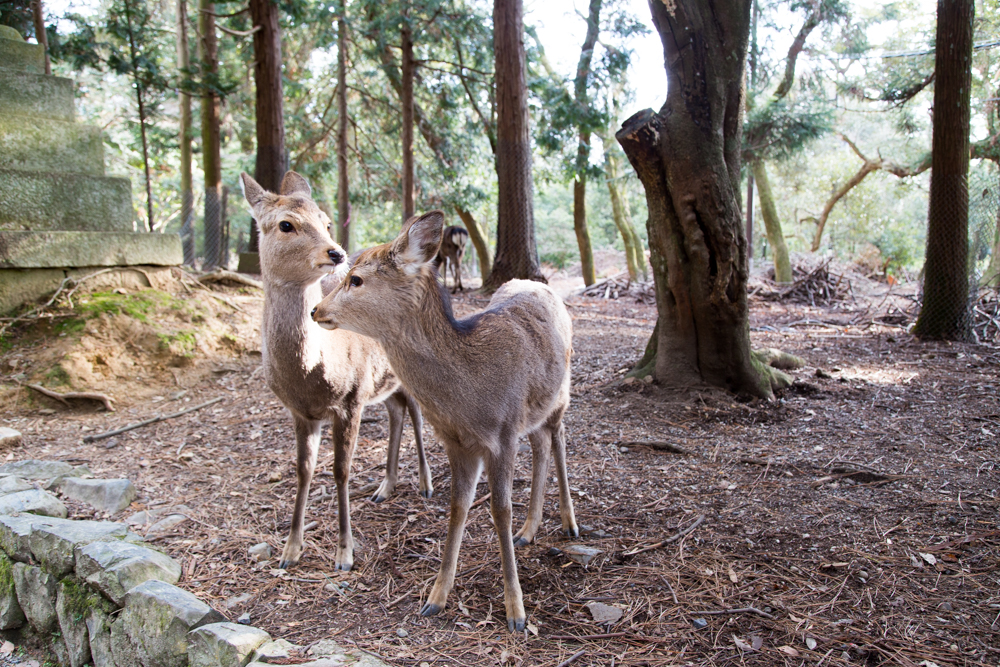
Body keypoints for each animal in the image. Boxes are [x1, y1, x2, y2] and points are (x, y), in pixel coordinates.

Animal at [241, 172, 434, 576]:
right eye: (285, 224)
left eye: (327, 222)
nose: (336, 253)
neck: (313, 376)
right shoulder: (301, 412)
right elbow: (303, 470)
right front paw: (290, 549)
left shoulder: (350, 399)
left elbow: (341, 471)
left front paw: (345, 553)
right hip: (381, 382)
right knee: (396, 411)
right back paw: (384, 487)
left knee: (415, 413)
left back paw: (425, 483)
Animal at [312, 211, 580, 636]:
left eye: (355, 279)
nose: (315, 310)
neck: (469, 397)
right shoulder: (458, 442)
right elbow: (458, 506)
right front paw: (436, 597)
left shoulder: (503, 434)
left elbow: (499, 510)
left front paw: (516, 612)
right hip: (532, 411)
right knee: (540, 443)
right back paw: (529, 529)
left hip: (562, 391)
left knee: (558, 439)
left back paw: (569, 523)